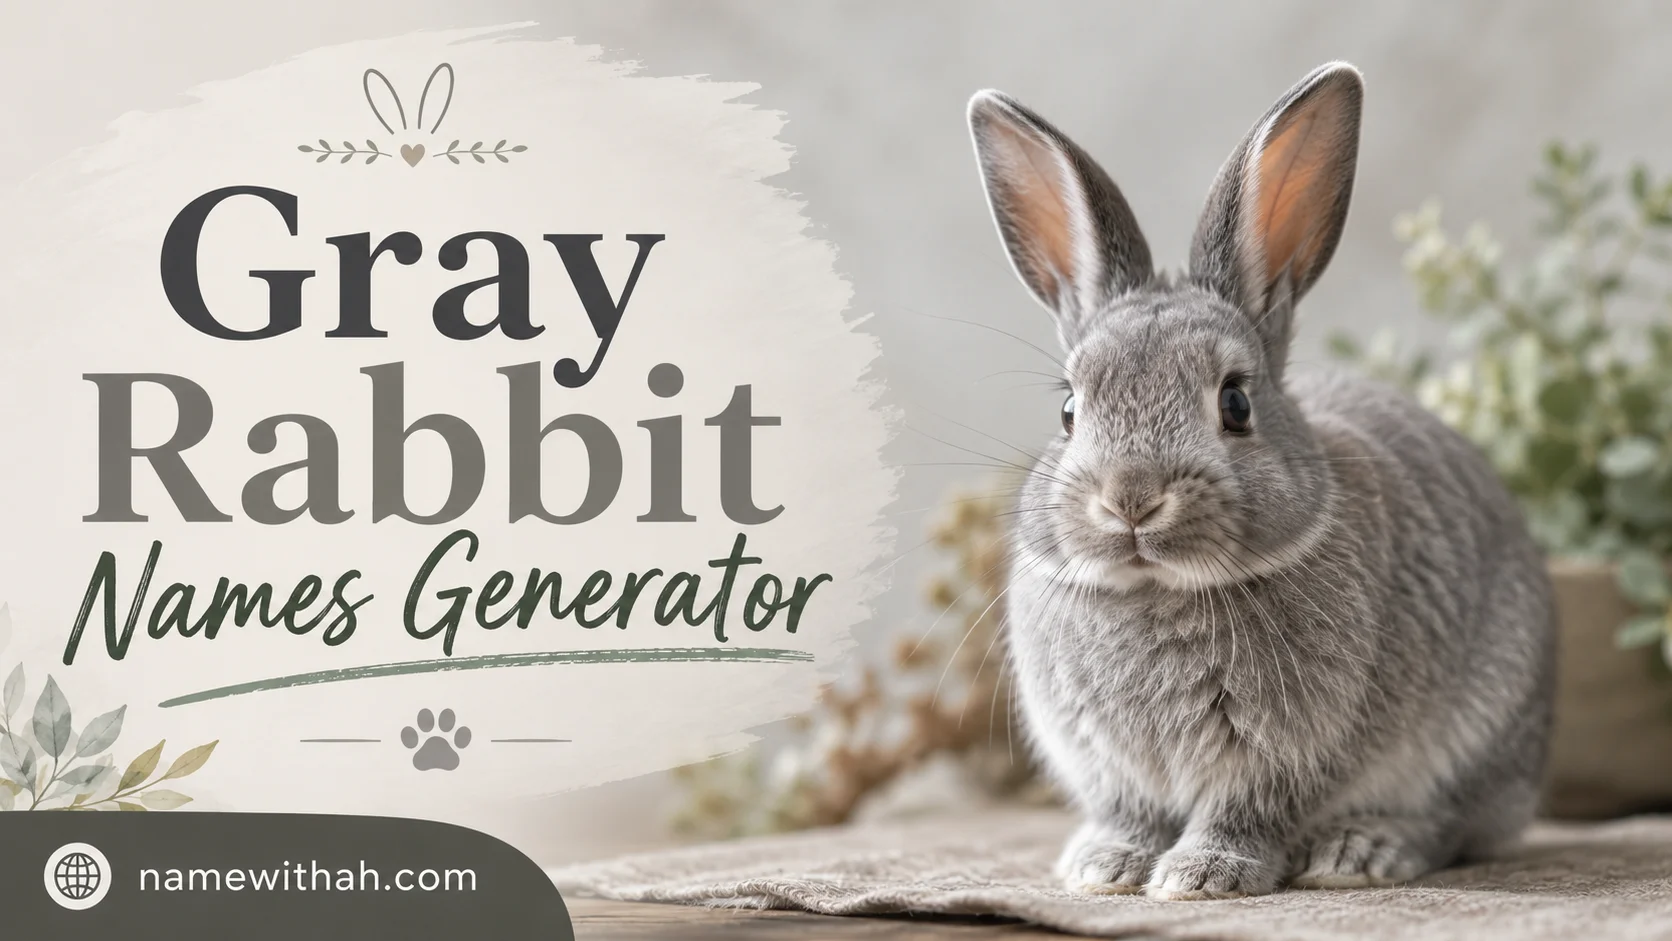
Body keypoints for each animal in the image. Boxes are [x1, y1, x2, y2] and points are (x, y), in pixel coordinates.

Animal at [965, 61, 1556, 900]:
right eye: (1069, 409)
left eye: (1236, 403)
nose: (1130, 498)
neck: (1158, 590)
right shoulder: (1111, 767)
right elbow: (1129, 815)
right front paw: (1103, 867)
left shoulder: (1287, 757)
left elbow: (1243, 814)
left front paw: (1201, 875)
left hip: (1477, 734)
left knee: (1452, 824)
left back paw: (1361, 852)